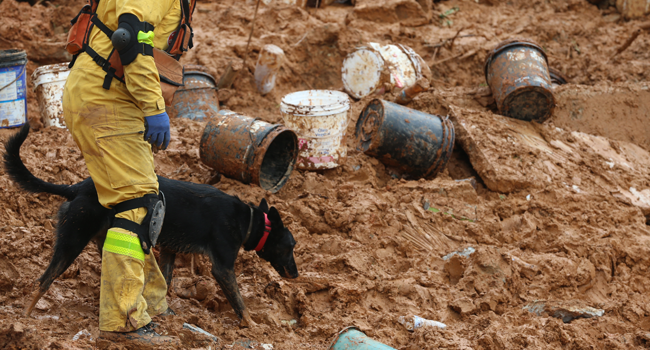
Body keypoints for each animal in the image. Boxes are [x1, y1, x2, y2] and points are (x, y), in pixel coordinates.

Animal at [3, 123, 298, 328]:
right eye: (290, 247)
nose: (296, 275)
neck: (248, 219)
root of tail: (76, 187)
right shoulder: (223, 268)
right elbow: (238, 300)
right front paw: (253, 324)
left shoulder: (169, 251)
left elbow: (165, 282)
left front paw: (165, 311)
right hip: (72, 241)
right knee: (43, 280)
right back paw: (24, 319)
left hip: (106, 241)